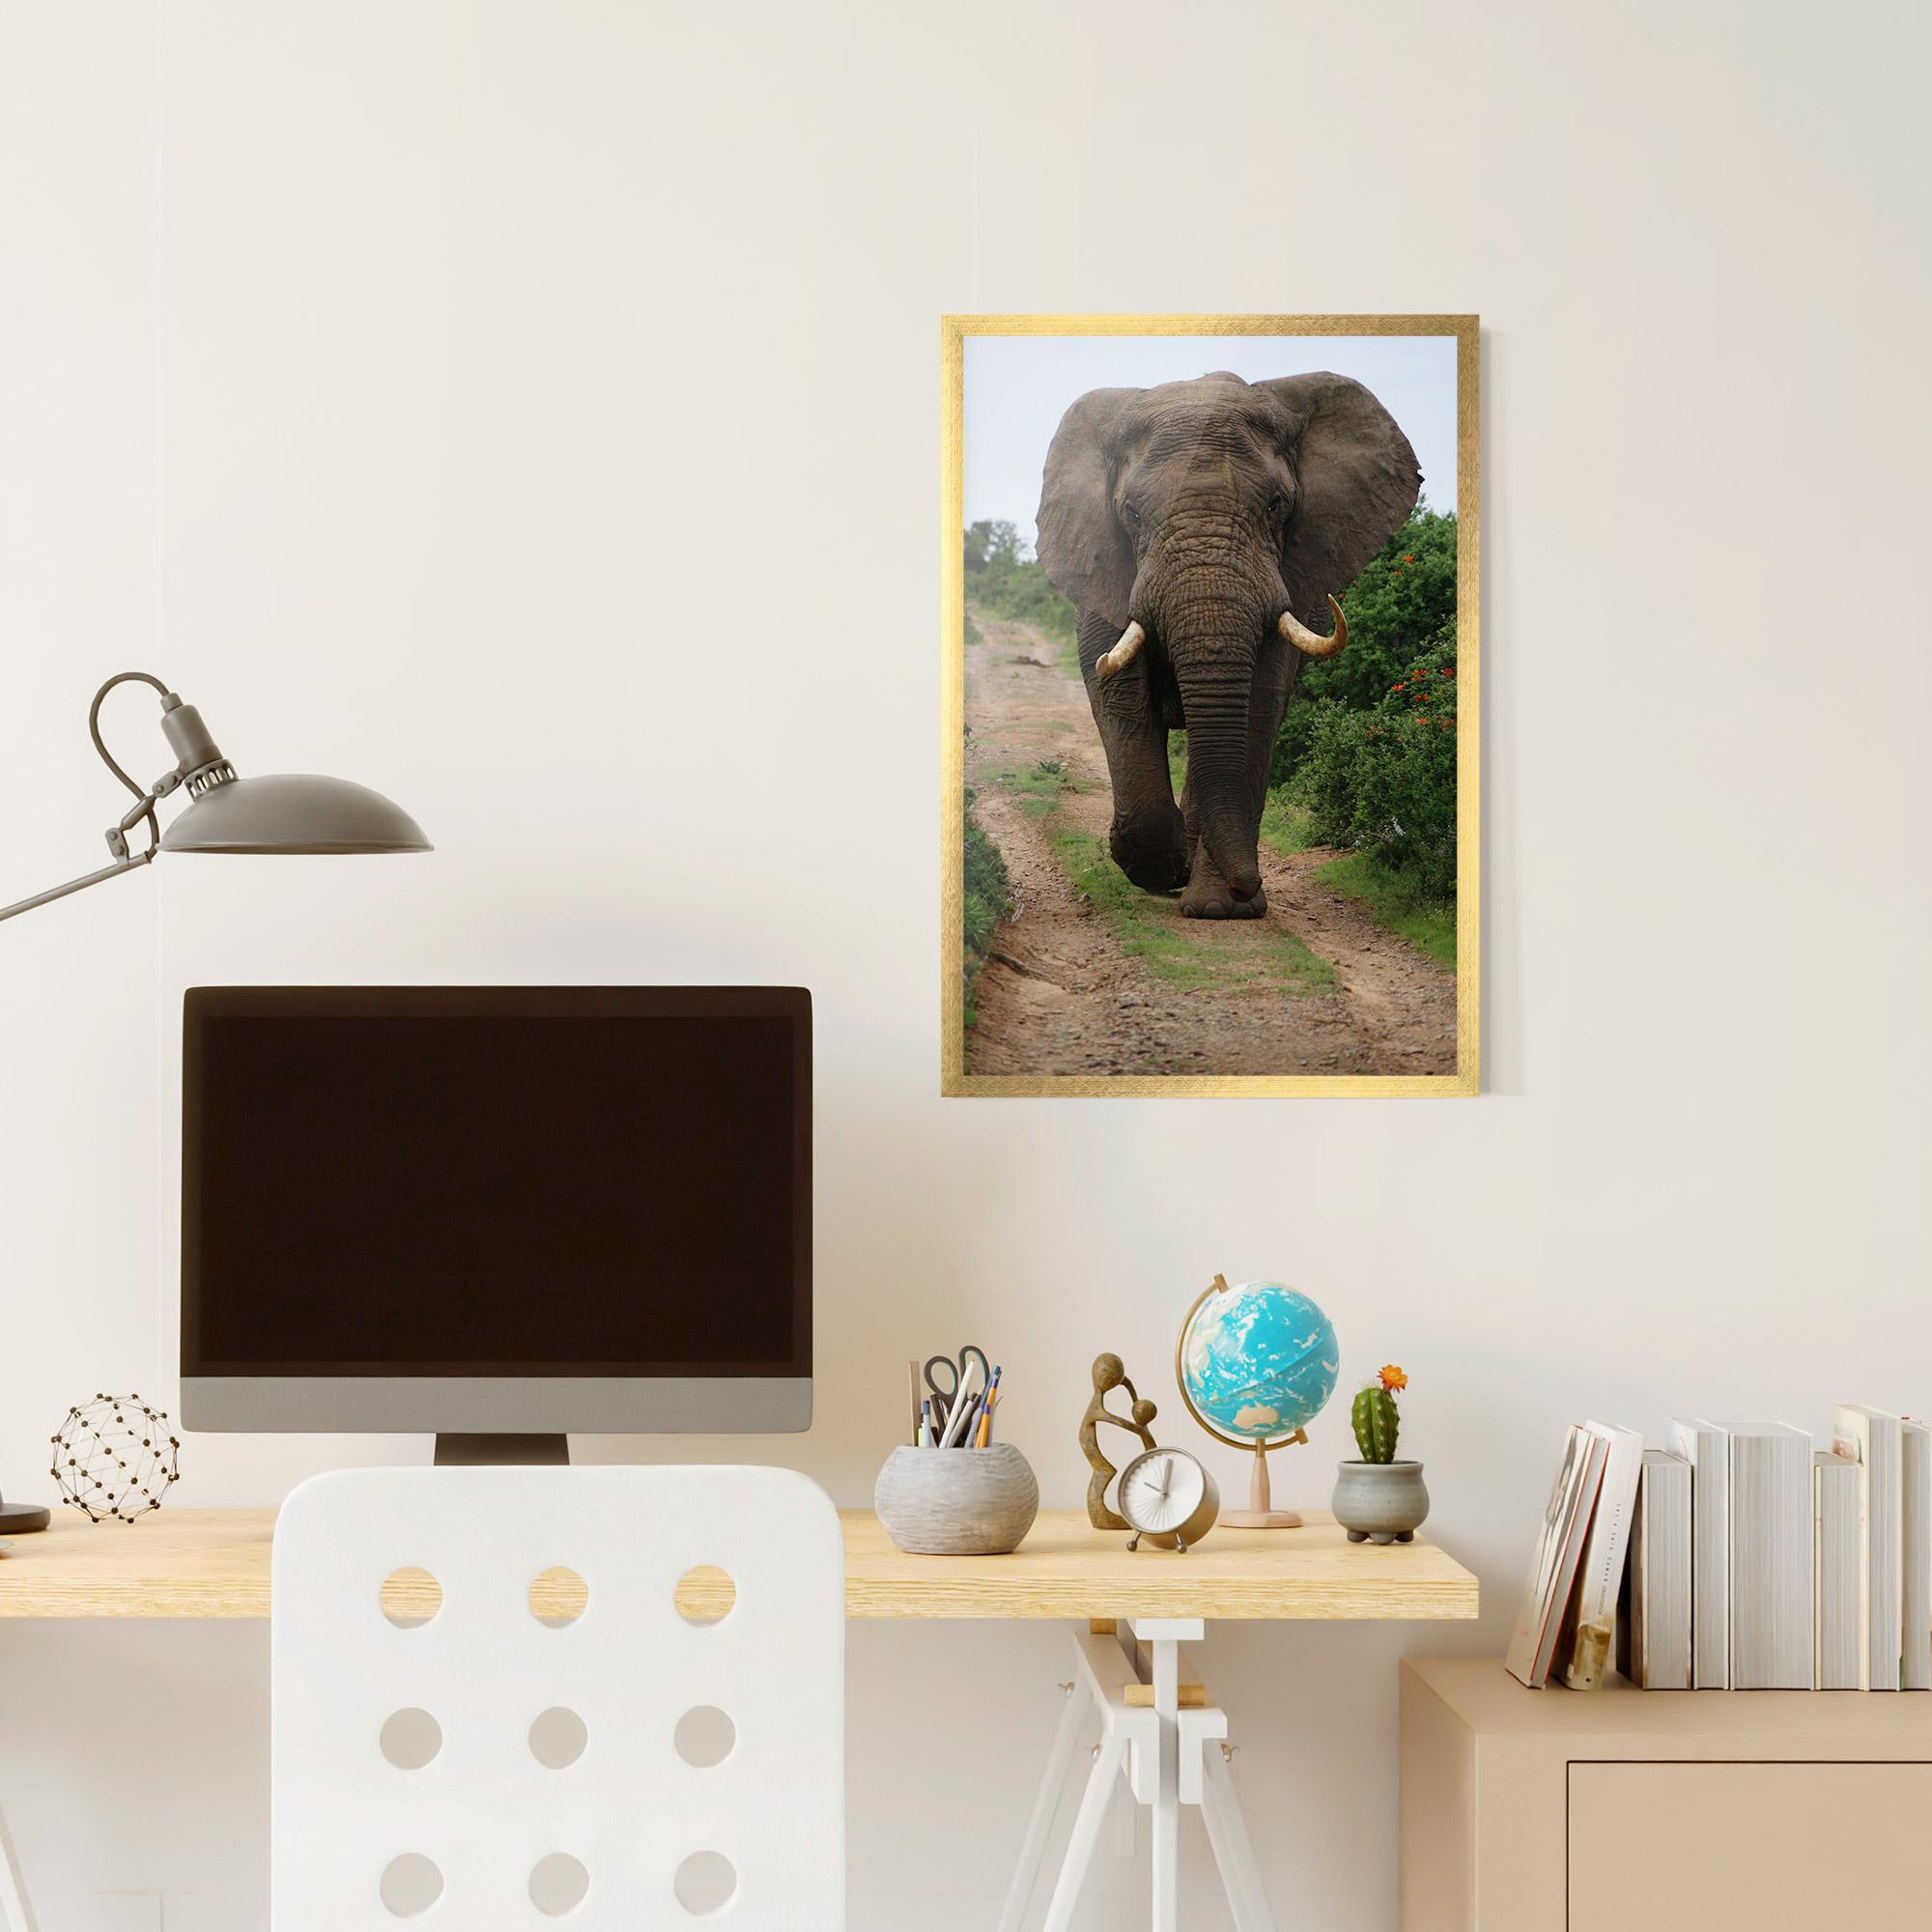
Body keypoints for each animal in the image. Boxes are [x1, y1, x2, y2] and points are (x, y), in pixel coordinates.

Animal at [1034, 371, 1421, 919]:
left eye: (1276, 506)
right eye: (1131, 513)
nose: (1248, 884)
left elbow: (1259, 704)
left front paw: (1223, 909)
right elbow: (1118, 695)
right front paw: (1162, 867)